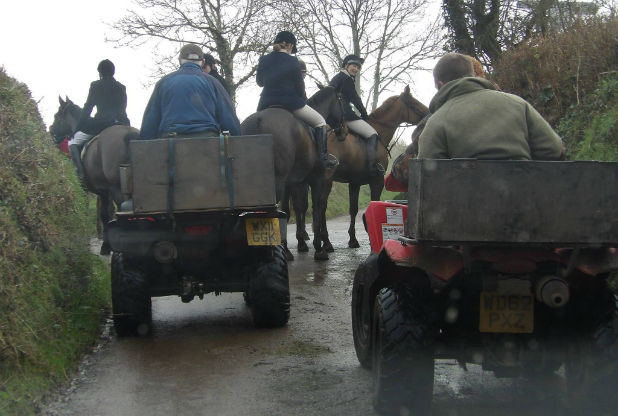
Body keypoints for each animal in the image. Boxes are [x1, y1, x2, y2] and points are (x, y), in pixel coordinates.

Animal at [49, 96, 140, 254]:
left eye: (57, 116)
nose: (51, 132)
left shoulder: (102, 190)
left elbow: (104, 214)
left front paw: (105, 246)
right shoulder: (104, 191)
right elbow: (106, 212)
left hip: (117, 188)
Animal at [241, 86, 346, 260]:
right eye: (341, 100)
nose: (343, 132)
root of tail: (258, 121)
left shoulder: (296, 182)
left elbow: (295, 208)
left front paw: (299, 244)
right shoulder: (316, 179)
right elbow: (316, 208)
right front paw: (318, 248)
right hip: (276, 183)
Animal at [316, 85, 426, 250]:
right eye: (414, 103)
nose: (428, 112)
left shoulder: (354, 183)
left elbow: (353, 209)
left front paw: (353, 239)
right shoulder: (377, 180)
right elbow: (374, 202)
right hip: (326, 179)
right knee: (321, 206)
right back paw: (326, 242)